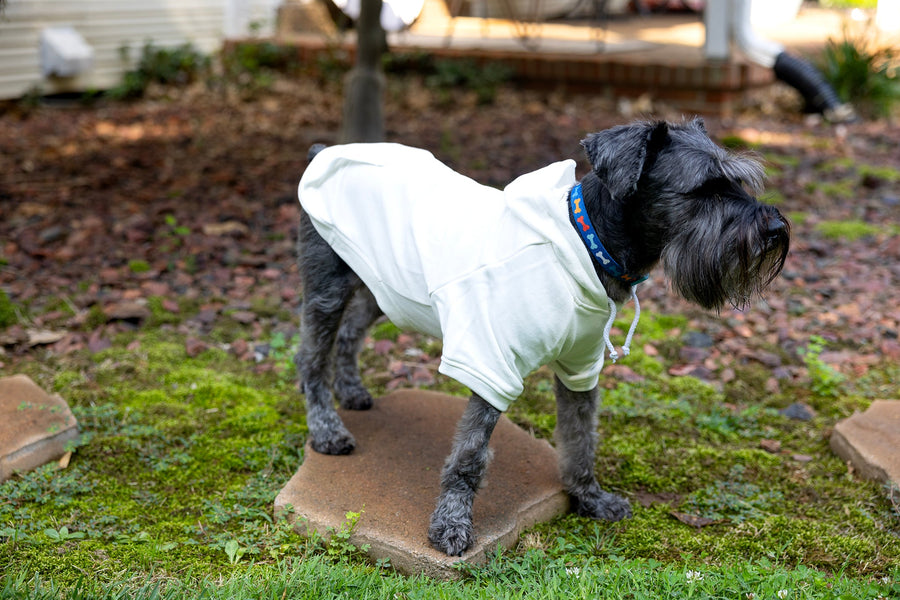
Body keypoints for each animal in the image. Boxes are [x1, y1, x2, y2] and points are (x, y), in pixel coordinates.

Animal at [296, 118, 788, 556]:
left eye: (740, 183)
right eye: (704, 189)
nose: (775, 230)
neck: (588, 244)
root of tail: (322, 151)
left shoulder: (581, 368)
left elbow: (580, 438)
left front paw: (589, 497)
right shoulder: (490, 364)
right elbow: (470, 455)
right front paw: (451, 525)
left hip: (384, 290)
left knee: (350, 334)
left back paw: (352, 391)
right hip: (328, 290)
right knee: (310, 360)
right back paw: (328, 431)